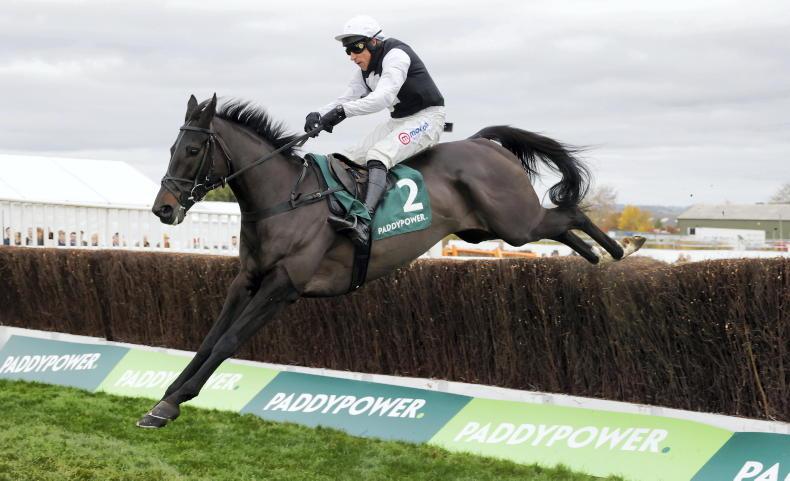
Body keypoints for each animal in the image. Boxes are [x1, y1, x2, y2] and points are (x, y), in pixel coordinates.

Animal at [138, 94, 645, 428]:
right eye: (172, 148)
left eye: (192, 149)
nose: (163, 209)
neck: (285, 200)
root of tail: (484, 144)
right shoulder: (247, 279)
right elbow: (209, 340)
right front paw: (167, 398)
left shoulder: (283, 286)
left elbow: (228, 342)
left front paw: (171, 404)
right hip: (488, 230)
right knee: (561, 224)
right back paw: (597, 256)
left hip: (515, 223)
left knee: (569, 213)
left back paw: (623, 249)